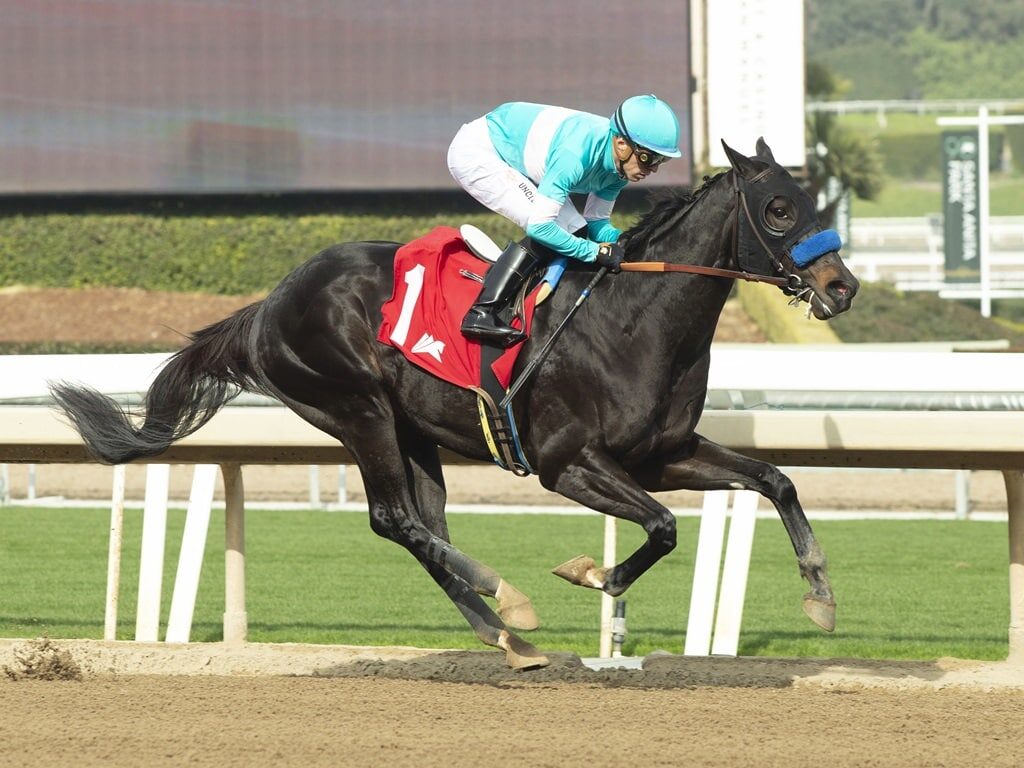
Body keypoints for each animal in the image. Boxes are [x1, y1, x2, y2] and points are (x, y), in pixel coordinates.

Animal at [51, 140, 860, 671]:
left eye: (816, 200)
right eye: (778, 208)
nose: (843, 286)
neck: (634, 320)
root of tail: (269, 304)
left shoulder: (660, 454)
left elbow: (776, 479)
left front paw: (821, 595)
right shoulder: (568, 463)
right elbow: (662, 528)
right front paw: (591, 576)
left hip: (414, 431)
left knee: (425, 525)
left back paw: (509, 635)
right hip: (358, 410)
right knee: (394, 519)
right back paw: (510, 599)